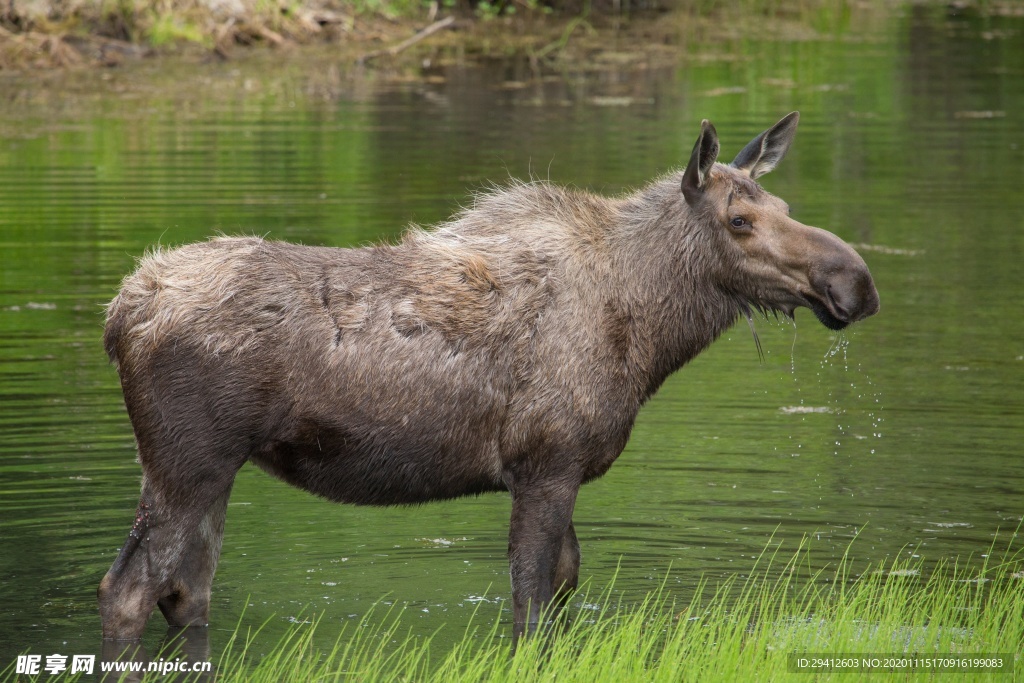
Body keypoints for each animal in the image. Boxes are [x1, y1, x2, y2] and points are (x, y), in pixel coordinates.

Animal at [97, 112, 880, 643]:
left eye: (784, 207)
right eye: (740, 219)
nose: (857, 282)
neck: (650, 331)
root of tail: (119, 314)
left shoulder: (559, 469)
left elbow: (564, 590)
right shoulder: (545, 464)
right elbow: (530, 602)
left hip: (200, 471)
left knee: (185, 591)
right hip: (188, 463)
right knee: (128, 590)